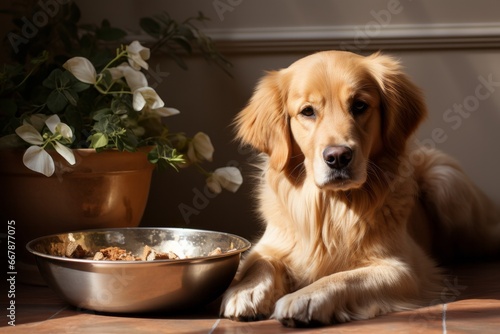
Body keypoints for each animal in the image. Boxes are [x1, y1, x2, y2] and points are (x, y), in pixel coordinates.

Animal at [222, 51, 500, 328]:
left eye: (359, 105)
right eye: (307, 111)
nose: (338, 157)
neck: (331, 207)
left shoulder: (402, 268)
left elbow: (345, 277)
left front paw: (304, 298)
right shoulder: (270, 243)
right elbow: (260, 262)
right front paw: (247, 290)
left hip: (446, 184)